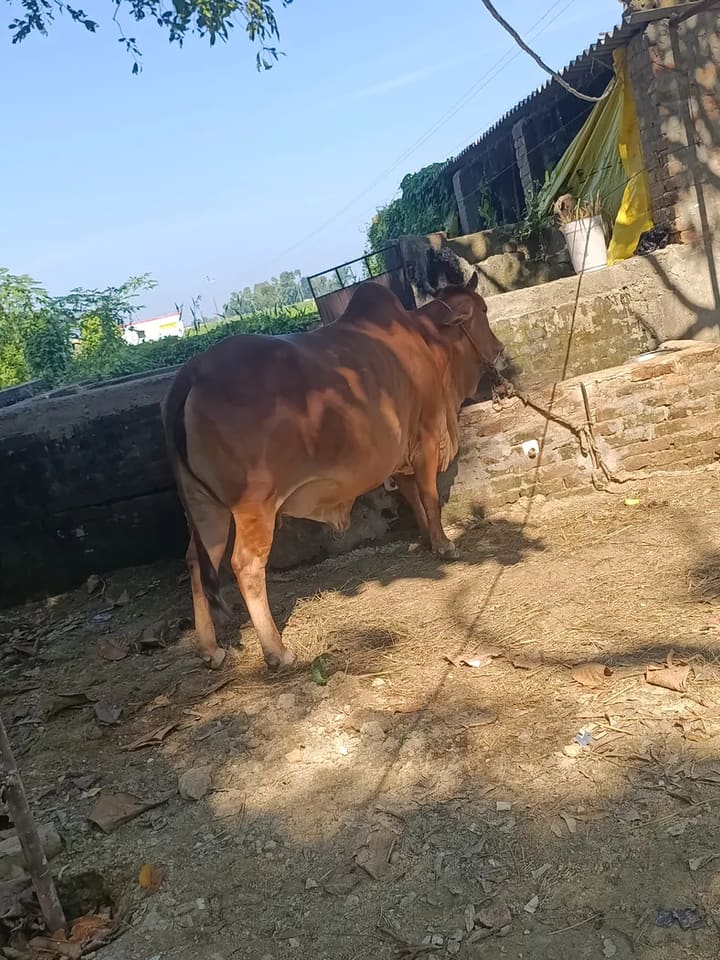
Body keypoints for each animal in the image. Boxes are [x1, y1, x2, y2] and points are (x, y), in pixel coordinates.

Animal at [162, 274, 511, 670]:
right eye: (482, 309)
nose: (501, 351)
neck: (429, 341)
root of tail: (191, 374)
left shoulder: (400, 453)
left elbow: (414, 499)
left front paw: (425, 538)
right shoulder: (425, 439)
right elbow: (429, 497)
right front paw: (444, 545)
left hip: (204, 507)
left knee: (195, 561)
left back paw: (211, 648)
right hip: (254, 505)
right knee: (246, 565)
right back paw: (277, 650)